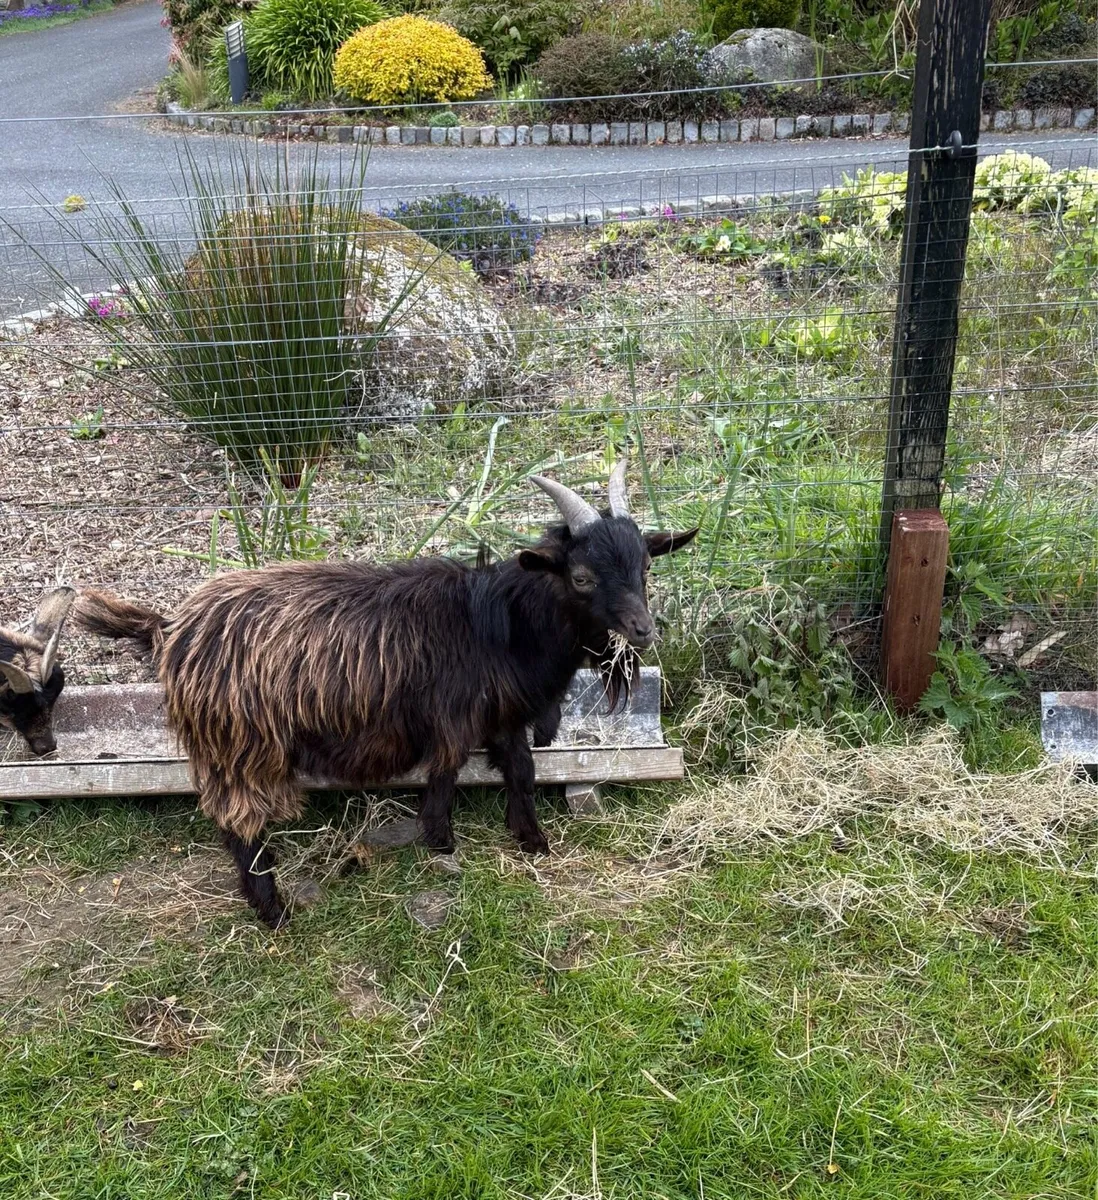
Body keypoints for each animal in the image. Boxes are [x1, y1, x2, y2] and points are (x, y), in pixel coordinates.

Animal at [74, 463, 697, 928]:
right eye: (582, 577)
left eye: (646, 565)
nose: (643, 631)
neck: (497, 623)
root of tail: (173, 629)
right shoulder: (455, 717)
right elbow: (443, 778)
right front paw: (442, 843)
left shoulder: (500, 715)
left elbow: (521, 771)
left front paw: (531, 841)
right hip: (240, 746)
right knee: (237, 822)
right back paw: (272, 910)